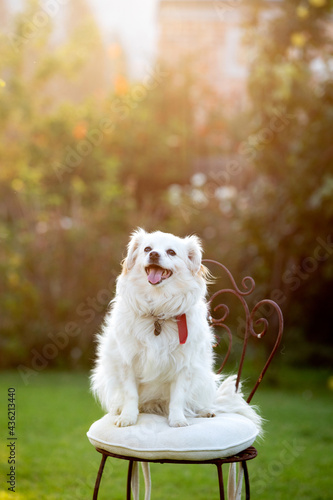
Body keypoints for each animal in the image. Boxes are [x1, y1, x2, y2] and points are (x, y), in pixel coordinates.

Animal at [90, 229, 260, 430]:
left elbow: (178, 397)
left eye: (171, 252)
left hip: (203, 378)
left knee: (194, 403)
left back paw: (204, 410)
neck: (157, 311)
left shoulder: (184, 365)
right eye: (147, 249)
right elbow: (130, 394)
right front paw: (128, 417)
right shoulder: (127, 361)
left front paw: (178, 420)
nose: (154, 254)